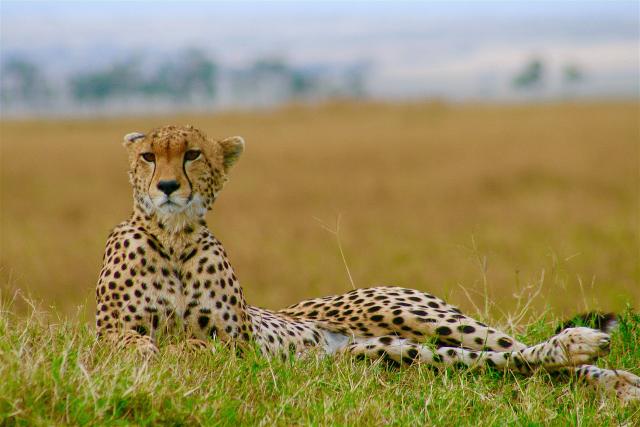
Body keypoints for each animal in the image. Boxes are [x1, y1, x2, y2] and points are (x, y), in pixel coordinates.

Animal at [96, 124, 640, 404]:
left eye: (191, 154)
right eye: (148, 157)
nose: (168, 187)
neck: (173, 240)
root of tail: (339, 343)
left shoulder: (240, 343)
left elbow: (202, 345)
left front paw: (179, 352)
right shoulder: (104, 337)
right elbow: (130, 342)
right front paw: (152, 354)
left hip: (409, 314)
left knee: (514, 347)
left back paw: (606, 368)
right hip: (393, 354)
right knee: (508, 361)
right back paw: (589, 359)